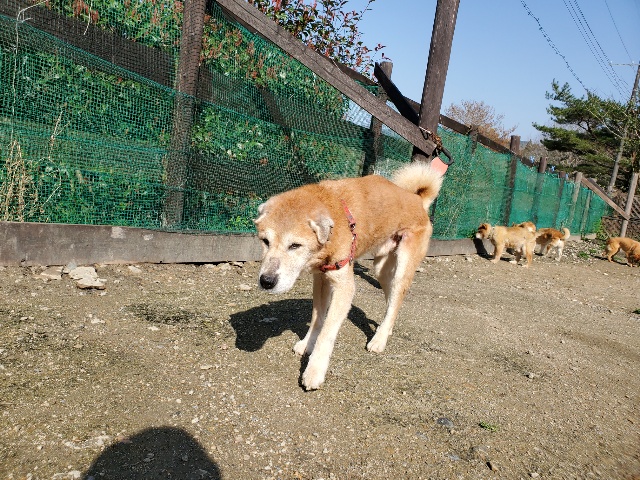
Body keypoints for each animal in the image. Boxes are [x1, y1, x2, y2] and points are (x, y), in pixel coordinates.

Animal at [254, 162, 443, 390]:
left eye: (295, 245)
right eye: (265, 241)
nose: (266, 281)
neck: (334, 223)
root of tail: (417, 200)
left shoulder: (344, 286)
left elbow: (327, 332)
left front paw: (314, 371)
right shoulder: (322, 280)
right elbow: (317, 319)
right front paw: (307, 343)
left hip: (402, 268)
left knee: (396, 301)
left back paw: (379, 339)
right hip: (381, 269)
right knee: (390, 301)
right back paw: (385, 329)